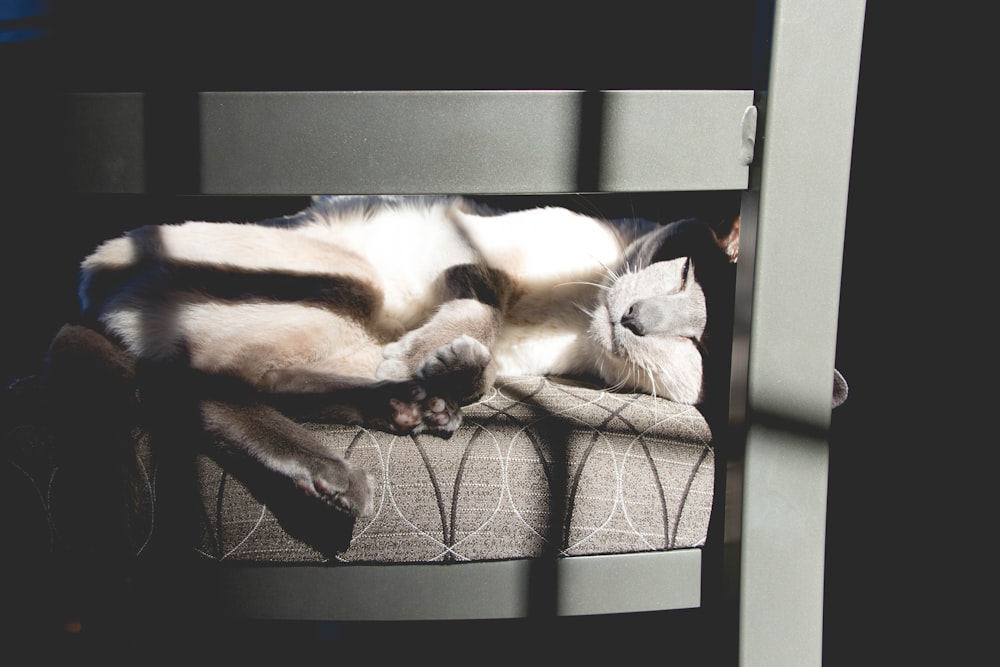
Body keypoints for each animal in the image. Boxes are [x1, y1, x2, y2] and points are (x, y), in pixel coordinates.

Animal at [70, 196, 740, 520]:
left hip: (336, 327)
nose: (633, 320)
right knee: (190, 382)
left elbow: (482, 358)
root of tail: (89, 281)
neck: (576, 319)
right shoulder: (483, 259)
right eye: (684, 274)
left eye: (697, 345)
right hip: (349, 280)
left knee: (239, 383)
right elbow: (484, 305)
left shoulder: (515, 355)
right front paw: (432, 361)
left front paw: (443, 370)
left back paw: (381, 436)